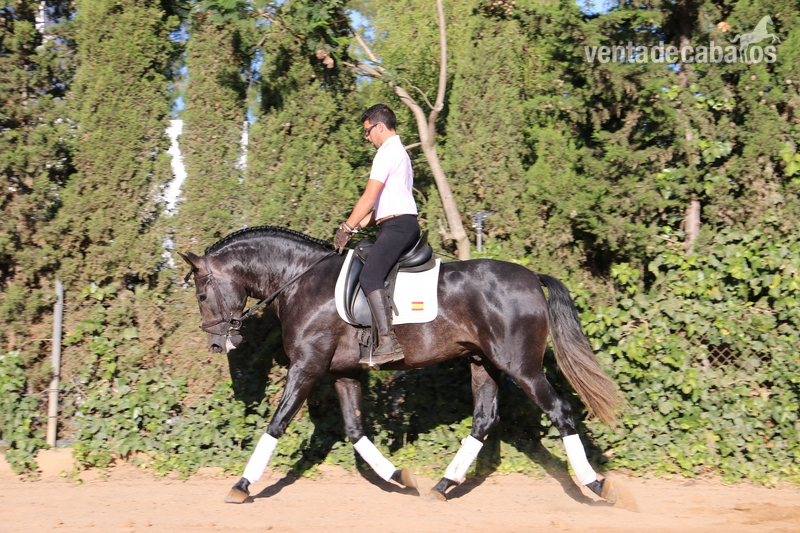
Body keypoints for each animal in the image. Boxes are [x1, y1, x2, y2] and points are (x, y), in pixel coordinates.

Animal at [179, 225, 623, 504]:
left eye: (201, 294)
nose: (218, 343)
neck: (300, 280)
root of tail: (532, 277)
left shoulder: (306, 367)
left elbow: (276, 424)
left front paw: (241, 485)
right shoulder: (343, 372)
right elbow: (356, 431)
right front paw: (400, 477)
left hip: (522, 367)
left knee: (560, 411)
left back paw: (596, 485)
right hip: (484, 363)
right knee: (483, 420)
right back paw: (443, 485)